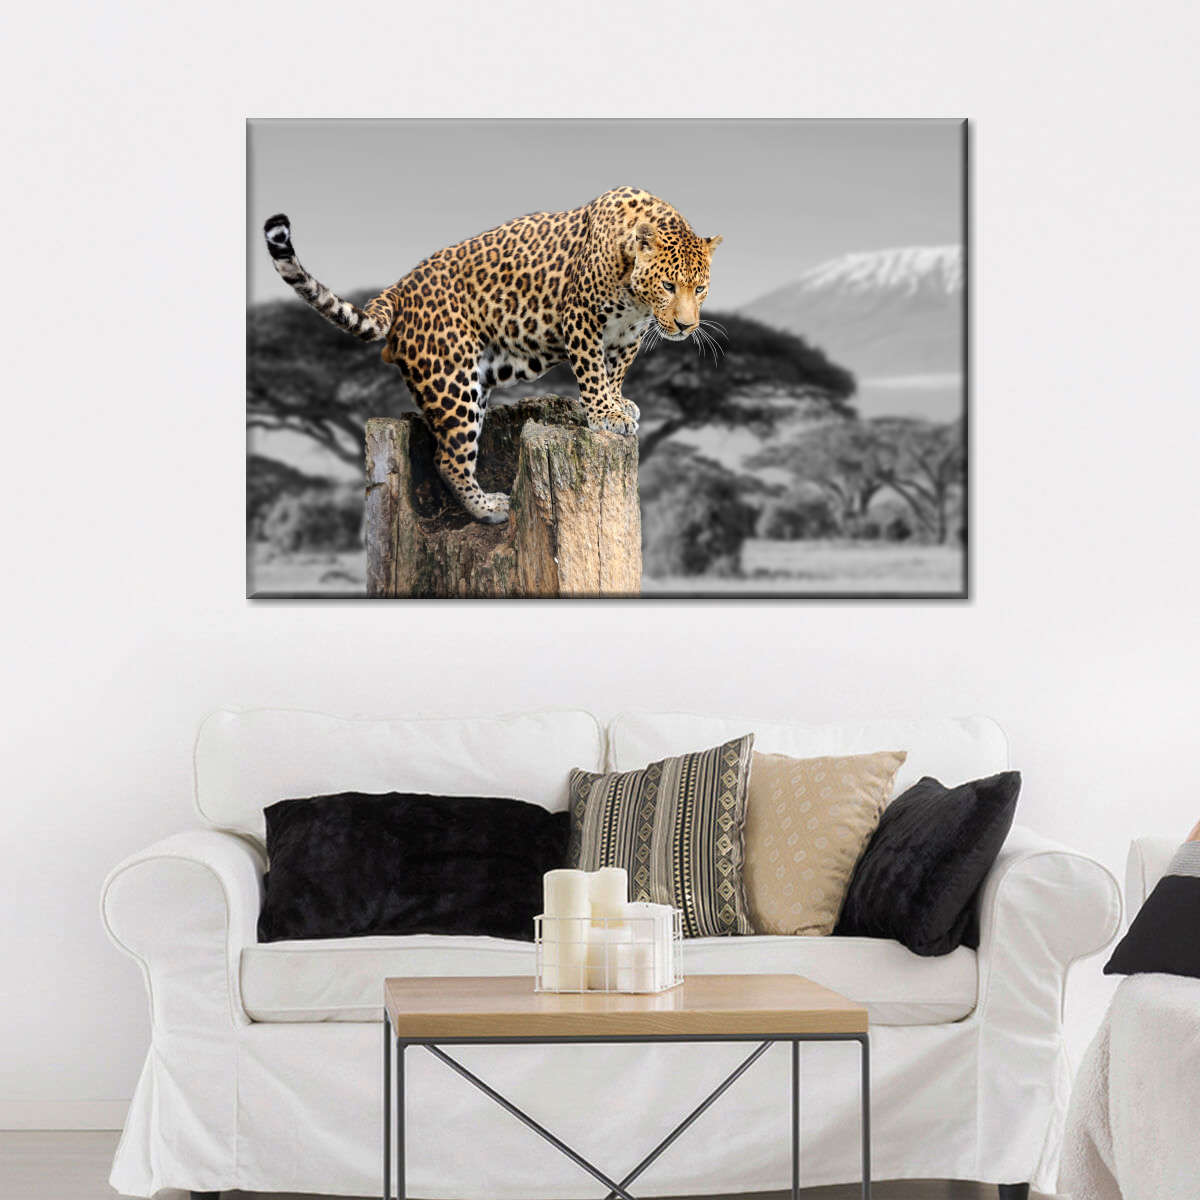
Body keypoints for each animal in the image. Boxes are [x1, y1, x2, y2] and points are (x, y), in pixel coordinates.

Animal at [262, 186, 721, 523]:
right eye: (668, 286)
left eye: (699, 288)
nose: (686, 326)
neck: (636, 297)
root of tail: (400, 287)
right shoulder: (581, 319)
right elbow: (592, 372)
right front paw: (604, 415)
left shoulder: (628, 335)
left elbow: (615, 371)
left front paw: (618, 404)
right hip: (452, 381)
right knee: (448, 458)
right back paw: (489, 510)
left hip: (475, 383)